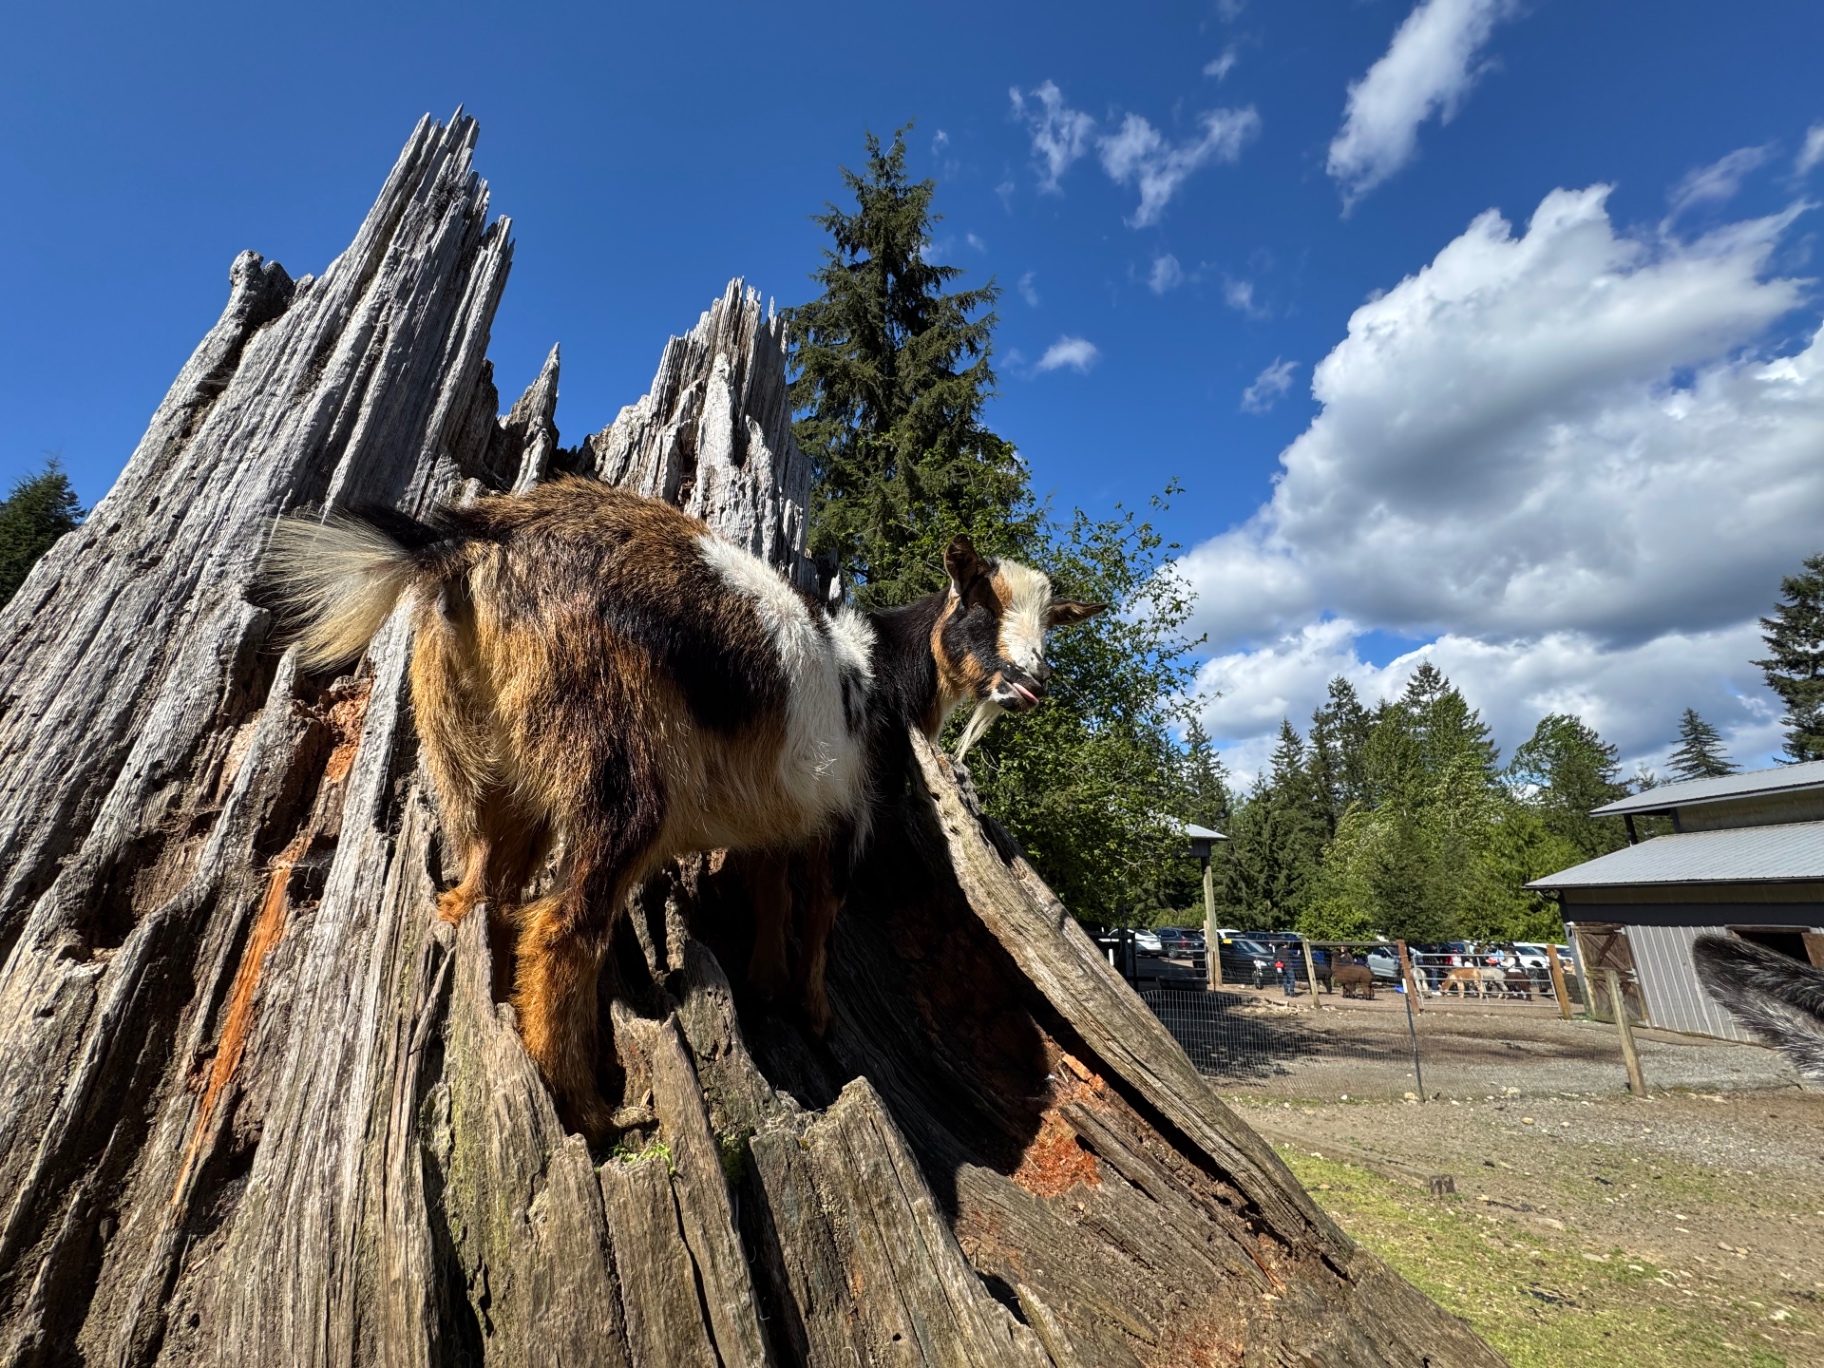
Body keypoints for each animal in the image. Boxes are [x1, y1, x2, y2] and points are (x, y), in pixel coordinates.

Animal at [265, 478, 1102, 1136]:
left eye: (1048, 627)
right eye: (979, 608)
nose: (1032, 685)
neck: (885, 669)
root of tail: (472, 542)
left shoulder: (783, 811)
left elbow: (770, 892)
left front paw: (763, 983)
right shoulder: (850, 810)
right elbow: (822, 910)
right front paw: (814, 1010)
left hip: (482, 750)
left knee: (480, 882)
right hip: (613, 763)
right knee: (563, 921)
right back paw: (591, 1109)